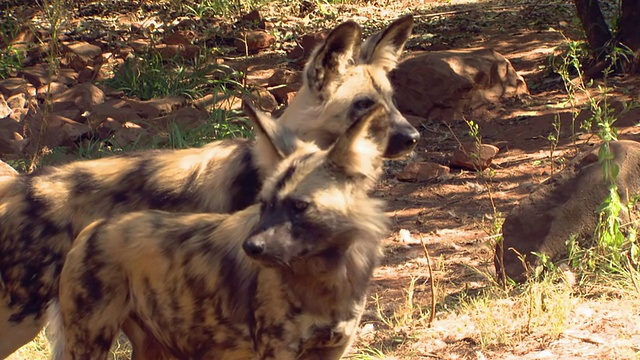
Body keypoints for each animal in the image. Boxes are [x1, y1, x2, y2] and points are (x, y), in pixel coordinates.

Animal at [52, 101, 390, 360]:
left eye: (299, 206)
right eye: (264, 204)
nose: (251, 247)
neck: (327, 277)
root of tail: (95, 227)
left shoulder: (331, 349)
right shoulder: (277, 350)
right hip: (90, 342)